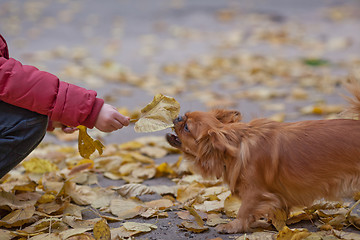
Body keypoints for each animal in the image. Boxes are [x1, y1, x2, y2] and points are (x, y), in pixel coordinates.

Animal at [167, 79, 360, 232]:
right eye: (185, 116)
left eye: (187, 128)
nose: (178, 118)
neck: (238, 145)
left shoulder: (255, 191)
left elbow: (244, 210)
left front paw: (233, 226)